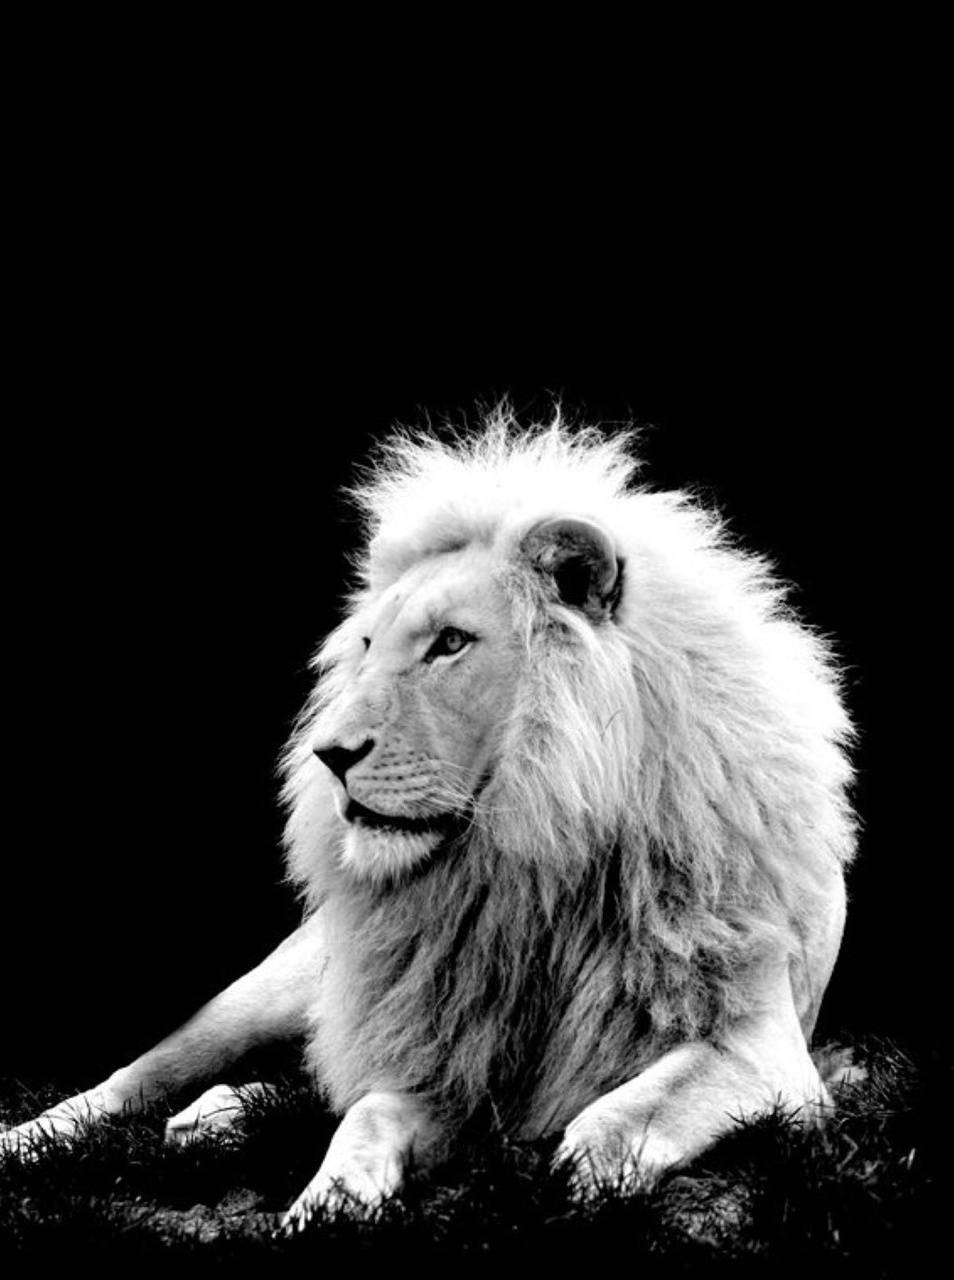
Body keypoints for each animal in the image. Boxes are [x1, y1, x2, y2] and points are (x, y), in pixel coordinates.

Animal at [1, 407, 855, 1230]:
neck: (535, 862)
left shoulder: (762, 1050)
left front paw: (580, 1175)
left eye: (450, 643)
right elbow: (368, 1116)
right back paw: (38, 1138)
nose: (328, 753)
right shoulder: (448, 1055)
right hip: (266, 994)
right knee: (145, 1076)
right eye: (368, 645)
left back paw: (214, 1119)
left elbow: (616, 1116)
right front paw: (328, 1205)